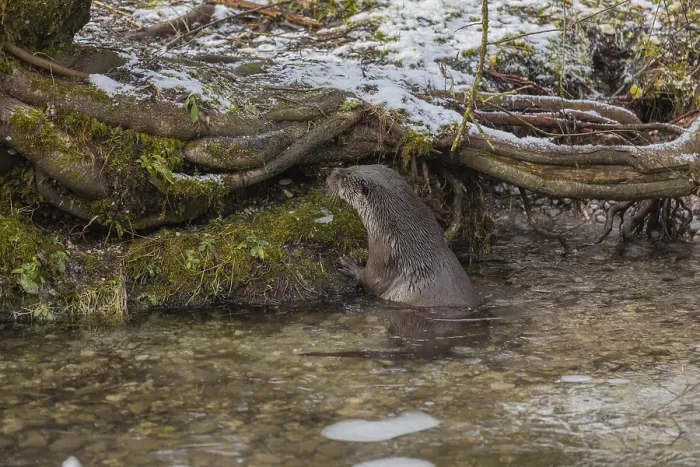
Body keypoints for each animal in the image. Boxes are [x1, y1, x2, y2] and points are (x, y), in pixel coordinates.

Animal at [326, 164, 480, 308]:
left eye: (345, 178)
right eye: (353, 166)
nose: (333, 172)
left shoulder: (385, 255)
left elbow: (371, 280)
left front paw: (351, 265)